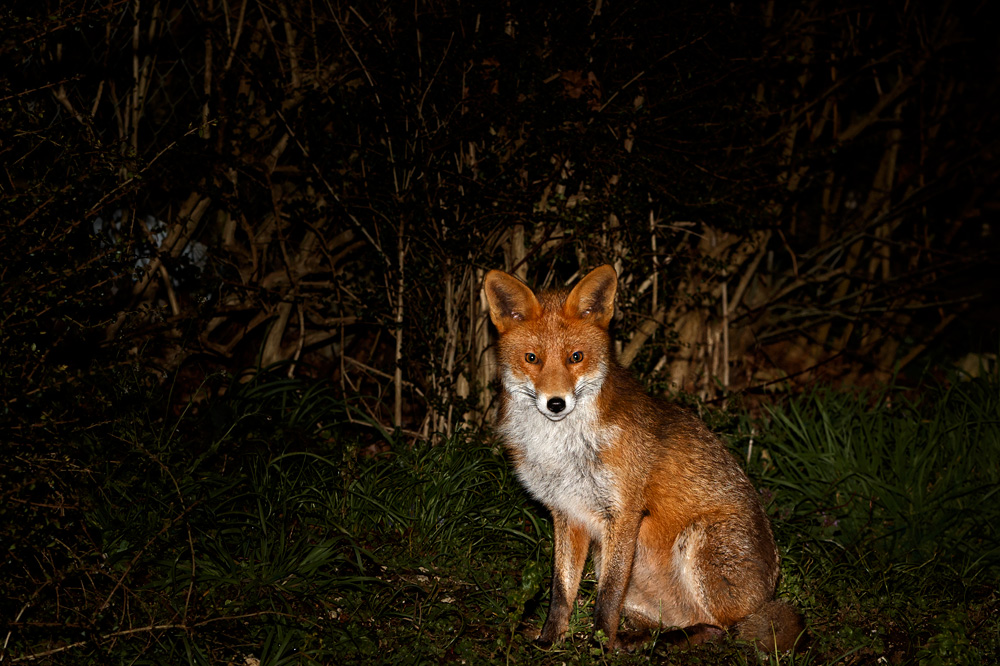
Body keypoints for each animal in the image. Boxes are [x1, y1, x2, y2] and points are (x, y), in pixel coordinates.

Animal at [483, 264, 803, 652]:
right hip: (612, 562)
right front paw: (550, 640)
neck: (561, 450)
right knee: (692, 622)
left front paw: (600, 646)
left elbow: (608, 595)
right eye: (532, 359)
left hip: (699, 542)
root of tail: (766, 596)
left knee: (725, 629)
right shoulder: (567, 514)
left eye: (576, 357)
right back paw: (646, 638)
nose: (556, 403)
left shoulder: (624, 512)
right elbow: (561, 591)